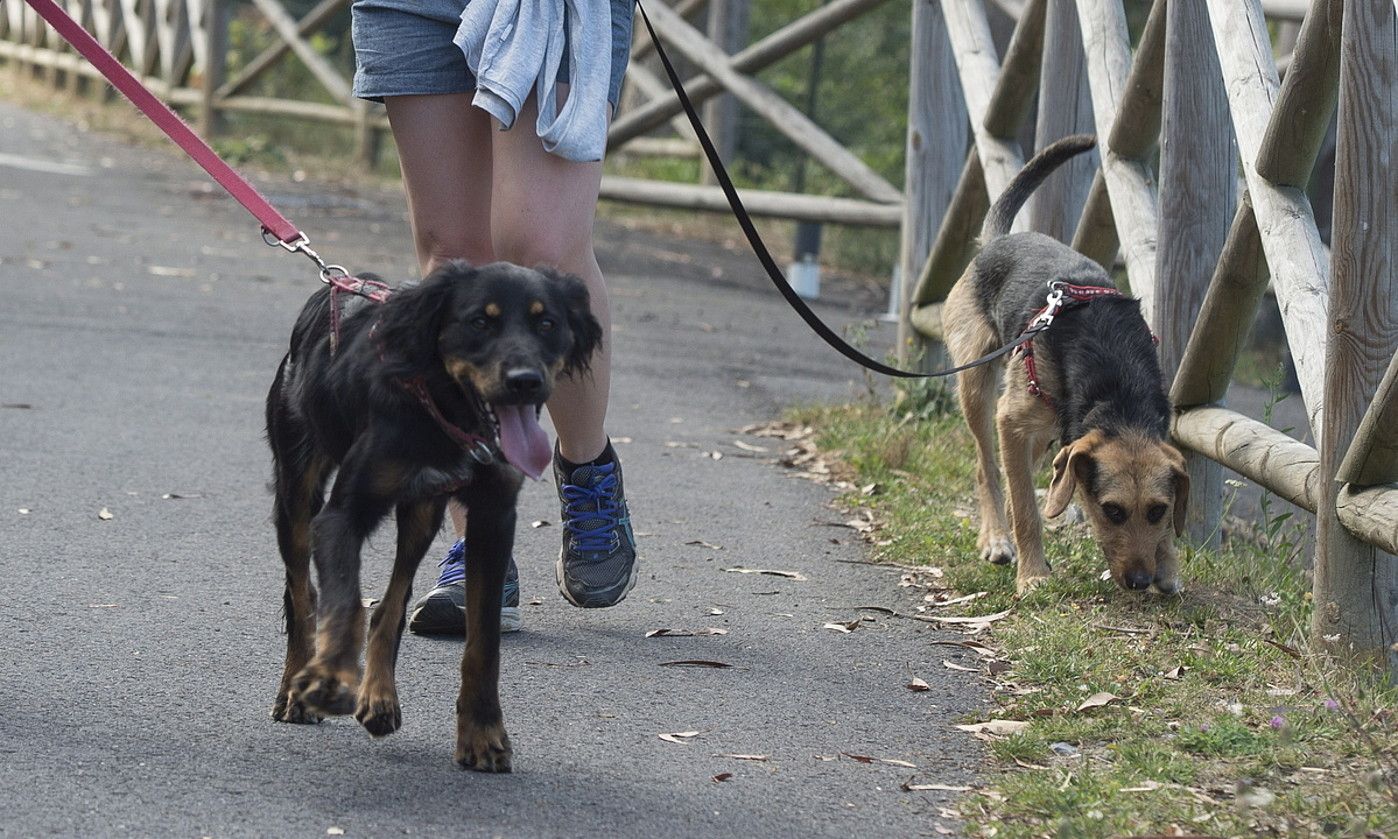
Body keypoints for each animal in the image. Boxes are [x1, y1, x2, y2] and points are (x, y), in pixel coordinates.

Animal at [267, 258, 601, 771]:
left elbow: (483, 642)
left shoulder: (493, 517)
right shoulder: (340, 517)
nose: (526, 381)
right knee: (301, 592)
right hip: (297, 493)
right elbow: (343, 603)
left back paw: (380, 698)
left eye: (547, 323)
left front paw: (482, 734)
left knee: (391, 603)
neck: (445, 410)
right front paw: (329, 679)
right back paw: (295, 689)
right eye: (479, 321)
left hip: (422, 510)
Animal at [939, 136, 1191, 595]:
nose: (1140, 581)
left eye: (1157, 511)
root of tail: (998, 242)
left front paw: (1168, 563)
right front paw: (1032, 575)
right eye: (1111, 510)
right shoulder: (1011, 422)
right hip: (977, 388)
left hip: (1044, 434)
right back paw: (997, 538)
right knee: (988, 469)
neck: (1116, 386)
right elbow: (1025, 508)